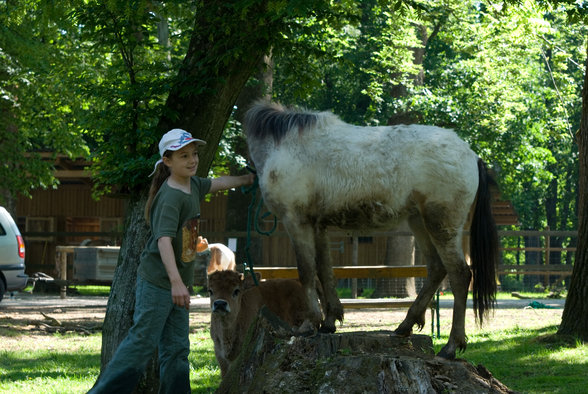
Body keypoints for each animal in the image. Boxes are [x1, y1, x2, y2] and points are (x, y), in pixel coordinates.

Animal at [241, 101, 498, 360]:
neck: (285, 143)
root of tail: (472, 155)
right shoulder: (317, 226)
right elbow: (324, 272)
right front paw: (329, 321)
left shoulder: (296, 221)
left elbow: (306, 272)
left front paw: (309, 324)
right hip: (419, 222)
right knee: (436, 269)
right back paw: (405, 325)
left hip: (440, 225)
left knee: (459, 274)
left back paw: (451, 346)